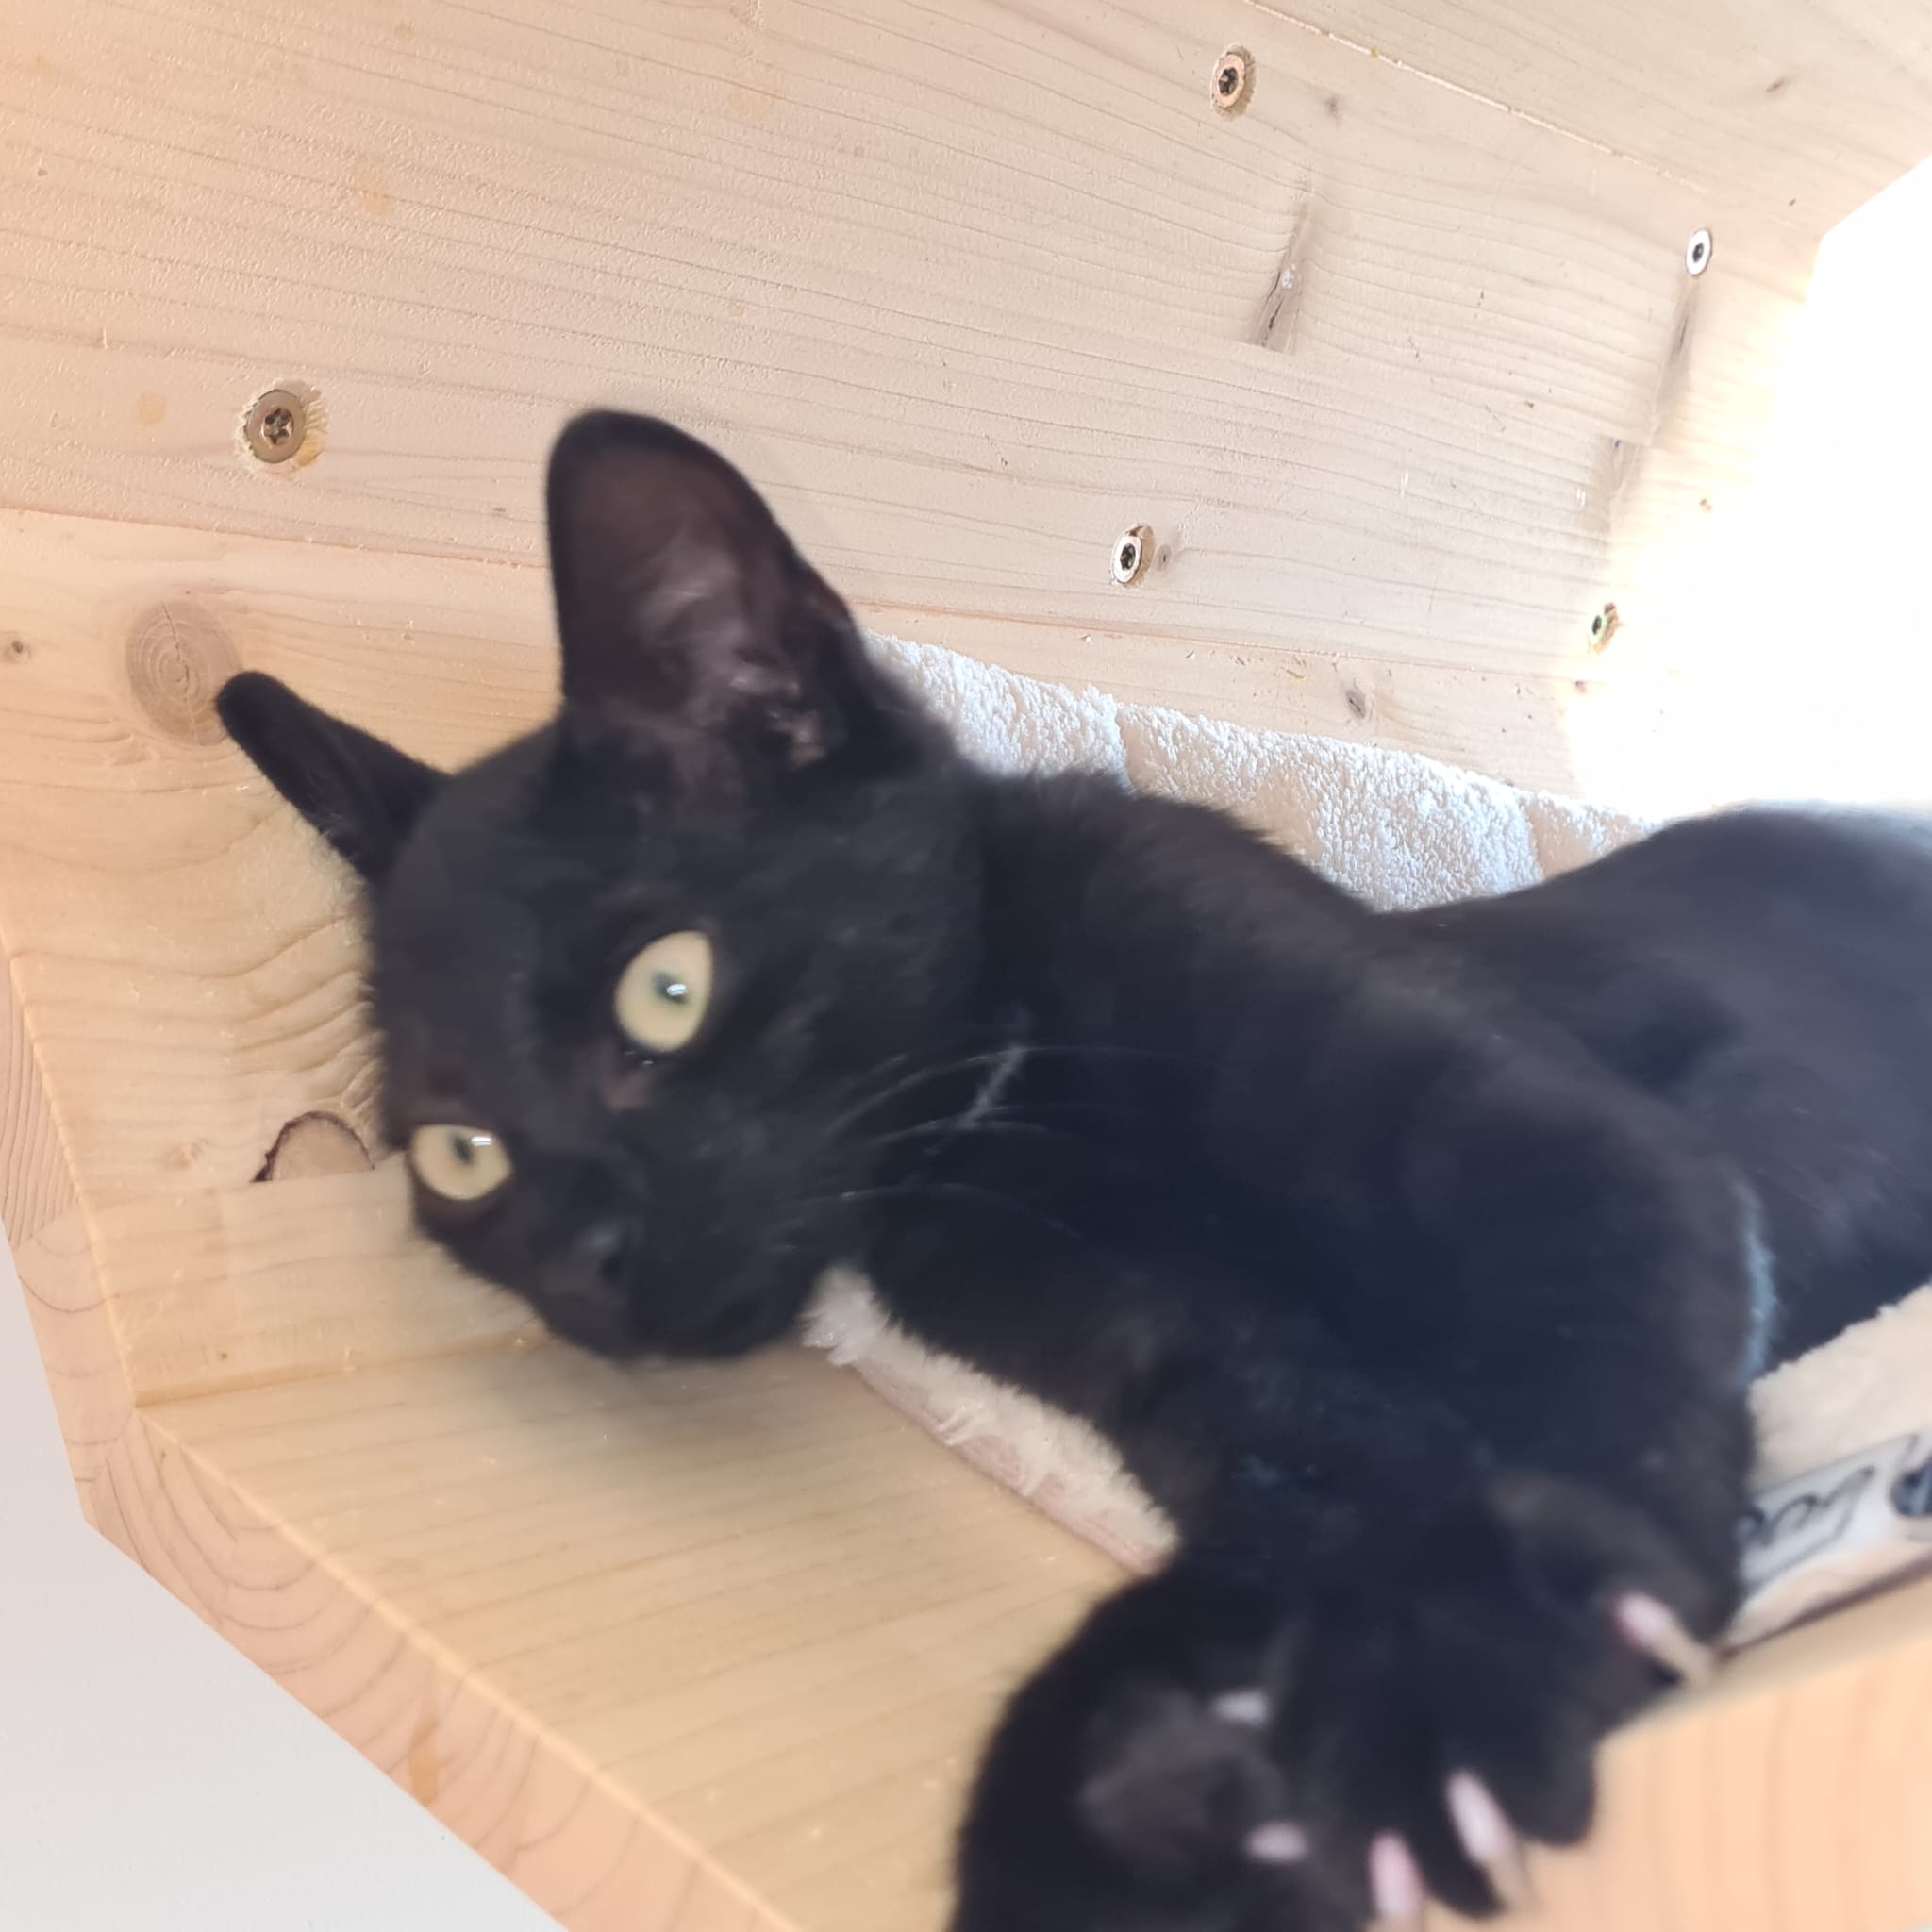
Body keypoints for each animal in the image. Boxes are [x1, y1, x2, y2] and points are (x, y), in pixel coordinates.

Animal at [217, 411, 1932, 1932]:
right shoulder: (1198, 1368)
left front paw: (1460, 1677)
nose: (582, 1260)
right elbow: (1309, 1512)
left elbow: (1566, 1377)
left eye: (667, 988)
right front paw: (1128, 1802)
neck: (1004, 1102)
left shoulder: (1579, 1147)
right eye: (460, 1156)